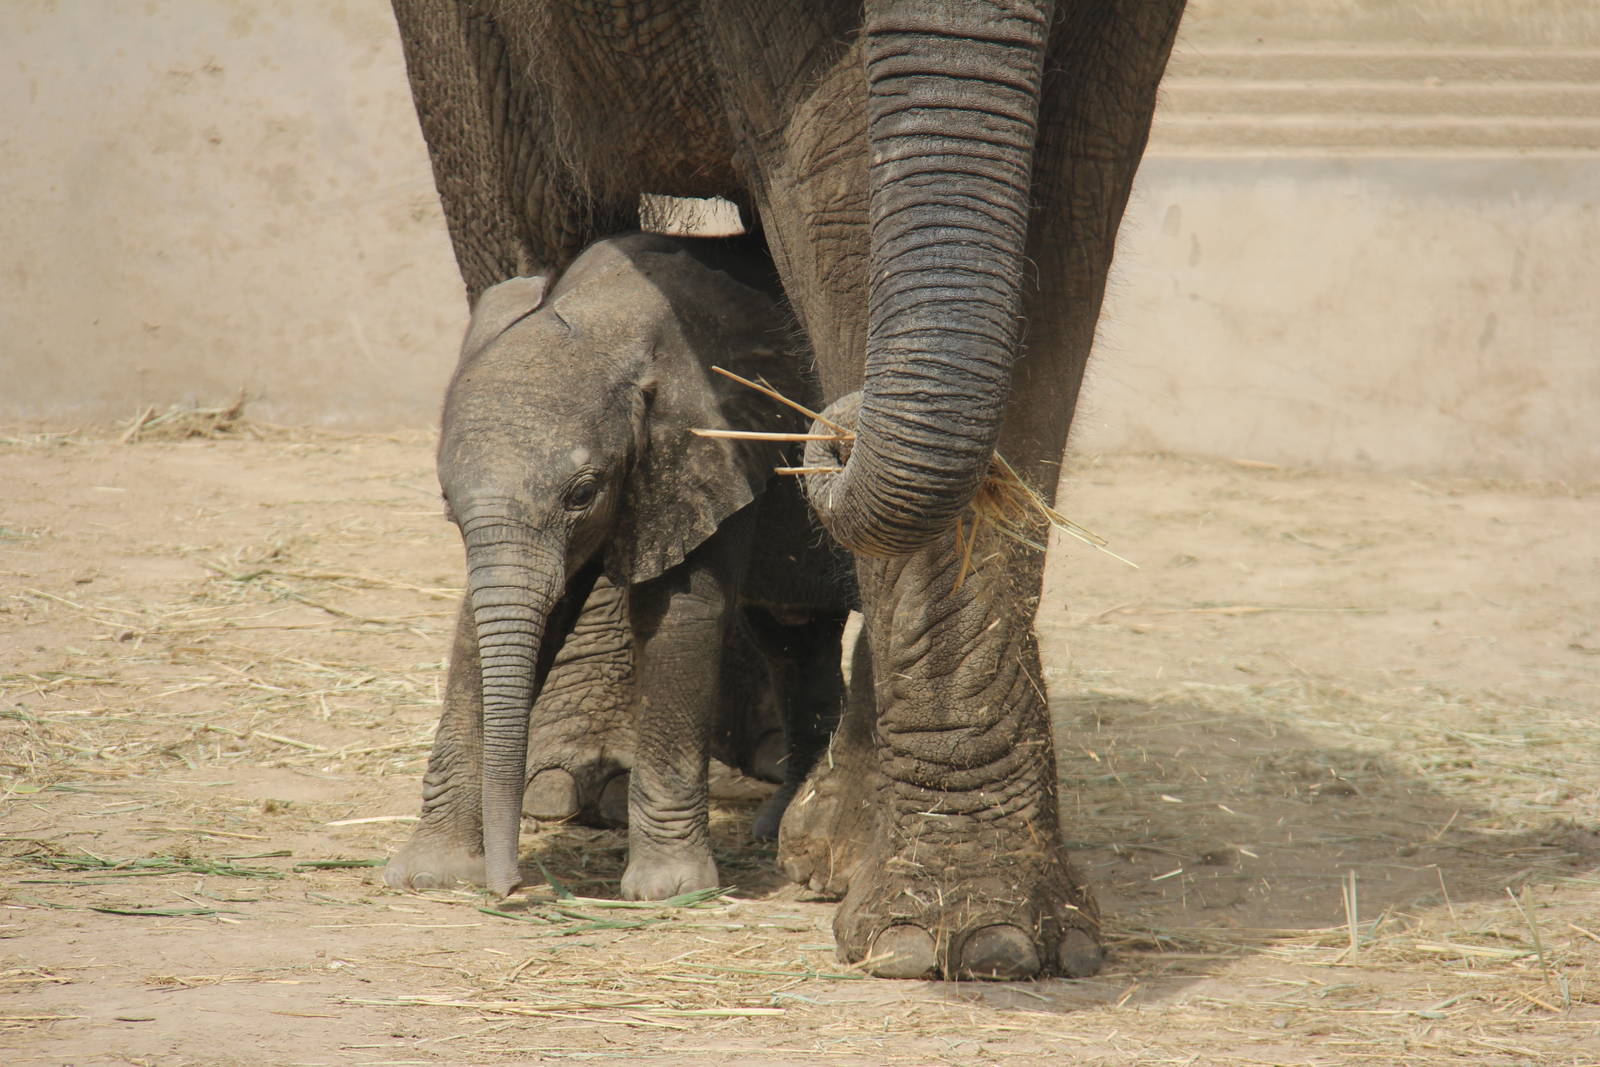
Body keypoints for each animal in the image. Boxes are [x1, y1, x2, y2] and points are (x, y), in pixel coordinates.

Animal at [384, 231, 853, 900]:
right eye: (447, 499)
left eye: (583, 493)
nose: (509, 888)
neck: (602, 316)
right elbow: (484, 625)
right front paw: (429, 873)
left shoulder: (710, 450)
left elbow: (679, 611)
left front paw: (668, 891)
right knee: (795, 637)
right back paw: (778, 824)